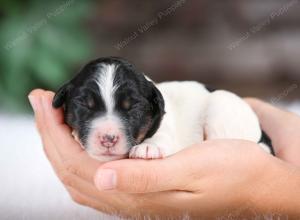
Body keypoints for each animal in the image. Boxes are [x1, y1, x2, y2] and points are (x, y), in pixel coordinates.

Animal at [52, 56, 274, 162]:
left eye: (132, 108)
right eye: (84, 105)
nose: (108, 138)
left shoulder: (166, 128)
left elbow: (161, 136)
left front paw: (148, 147)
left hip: (223, 108)